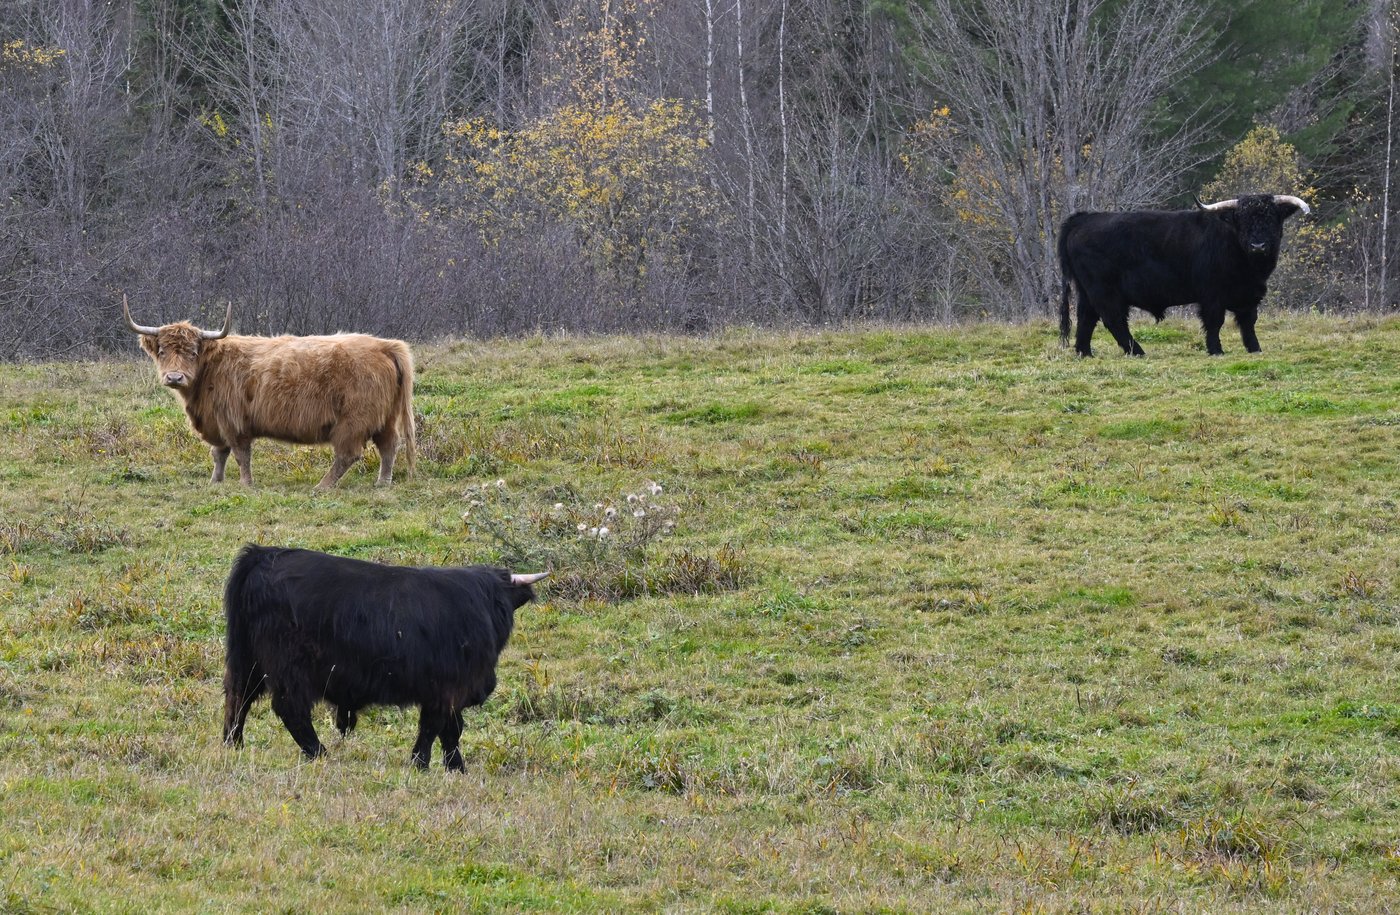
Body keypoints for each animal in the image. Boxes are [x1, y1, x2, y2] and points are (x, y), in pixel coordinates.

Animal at [122, 296, 415, 488]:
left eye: (193, 352)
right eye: (162, 351)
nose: (174, 377)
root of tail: (384, 345)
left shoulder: (233, 421)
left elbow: (240, 454)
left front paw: (246, 484)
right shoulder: (217, 420)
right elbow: (219, 453)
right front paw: (215, 482)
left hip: (354, 420)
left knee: (348, 454)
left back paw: (322, 486)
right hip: (386, 417)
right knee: (389, 446)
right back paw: (382, 483)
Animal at [221, 544, 547, 770]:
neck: (481, 603)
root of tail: (264, 554)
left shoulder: (449, 691)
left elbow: (450, 731)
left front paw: (454, 768)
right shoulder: (446, 688)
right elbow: (436, 728)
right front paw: (421, 764)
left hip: (247, 661)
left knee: (238, 699)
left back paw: (232, 744)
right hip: (290, 668)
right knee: (290, 709)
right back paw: (319, 753)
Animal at [1057, 194, 1310, 357]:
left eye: (1271, 219)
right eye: (1241, 220)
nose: (1258, 245)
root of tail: (1084, 218)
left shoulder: (1249, 295)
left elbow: (1248, 323)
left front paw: (1255, 349)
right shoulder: (1212, 295)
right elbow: (1214, 322)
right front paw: (1216, 350)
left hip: (1087, 291)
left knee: (1086, 318)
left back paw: (1084, 352)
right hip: (1104, 291)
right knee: (1113, 320)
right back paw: (1138, 352)